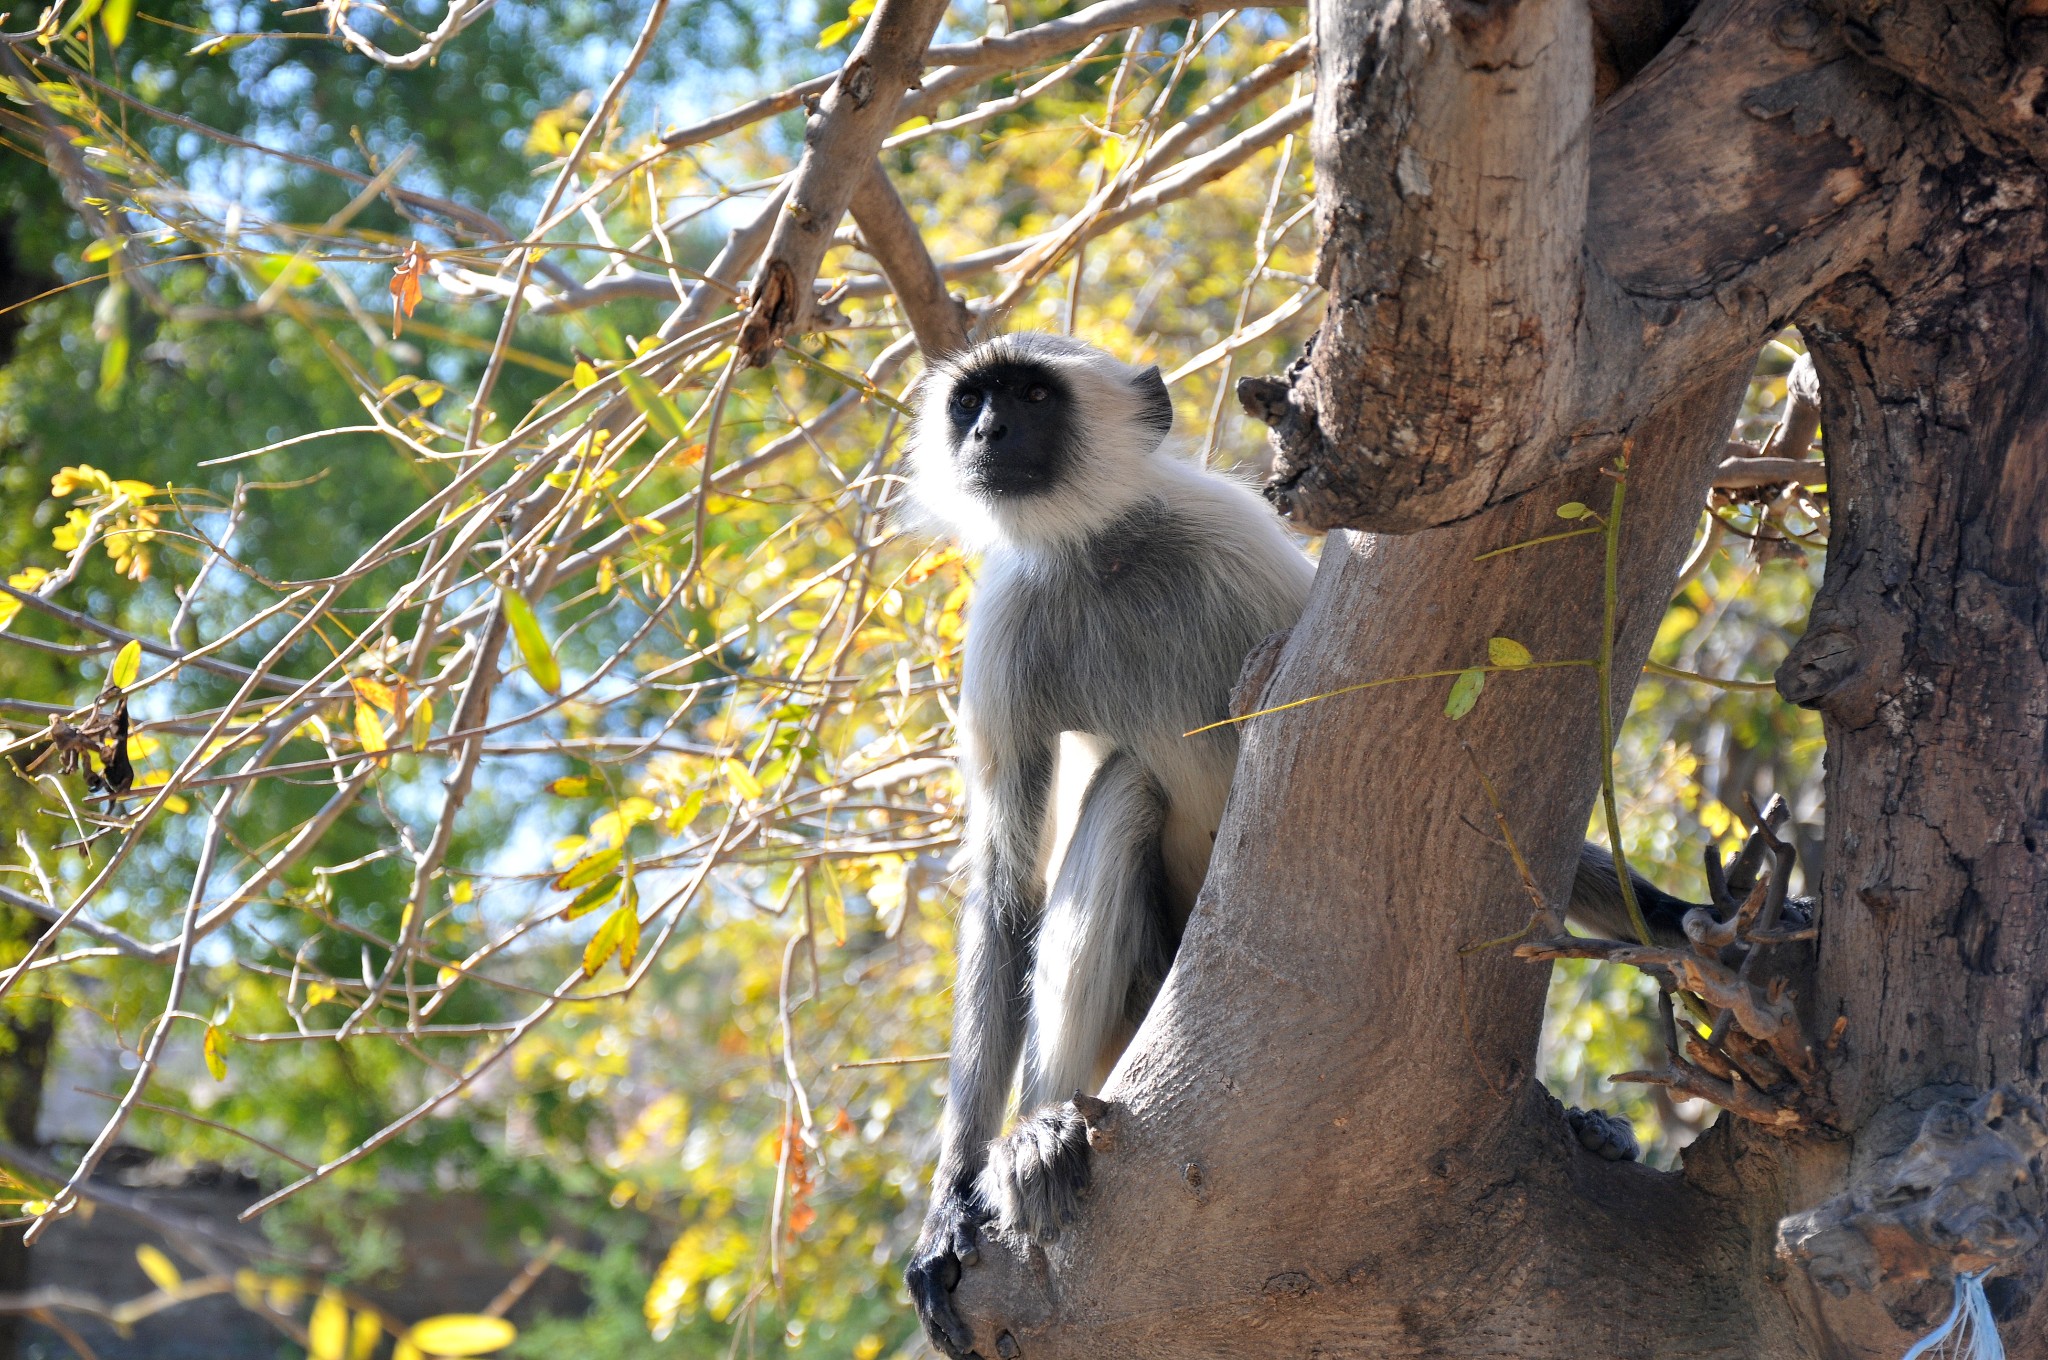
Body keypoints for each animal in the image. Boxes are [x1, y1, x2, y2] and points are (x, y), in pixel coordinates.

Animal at [905, 331, 1703, 1360]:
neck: (1106, 555)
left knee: (1130, 782)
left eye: (1032, 398)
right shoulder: (1006, 625)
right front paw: (949, 1211)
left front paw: (1692, 925)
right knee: (1126, 790)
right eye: (972, 404)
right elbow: (1006, 886)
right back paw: (1040, 1136)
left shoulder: (1233, 538)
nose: (990, 435)